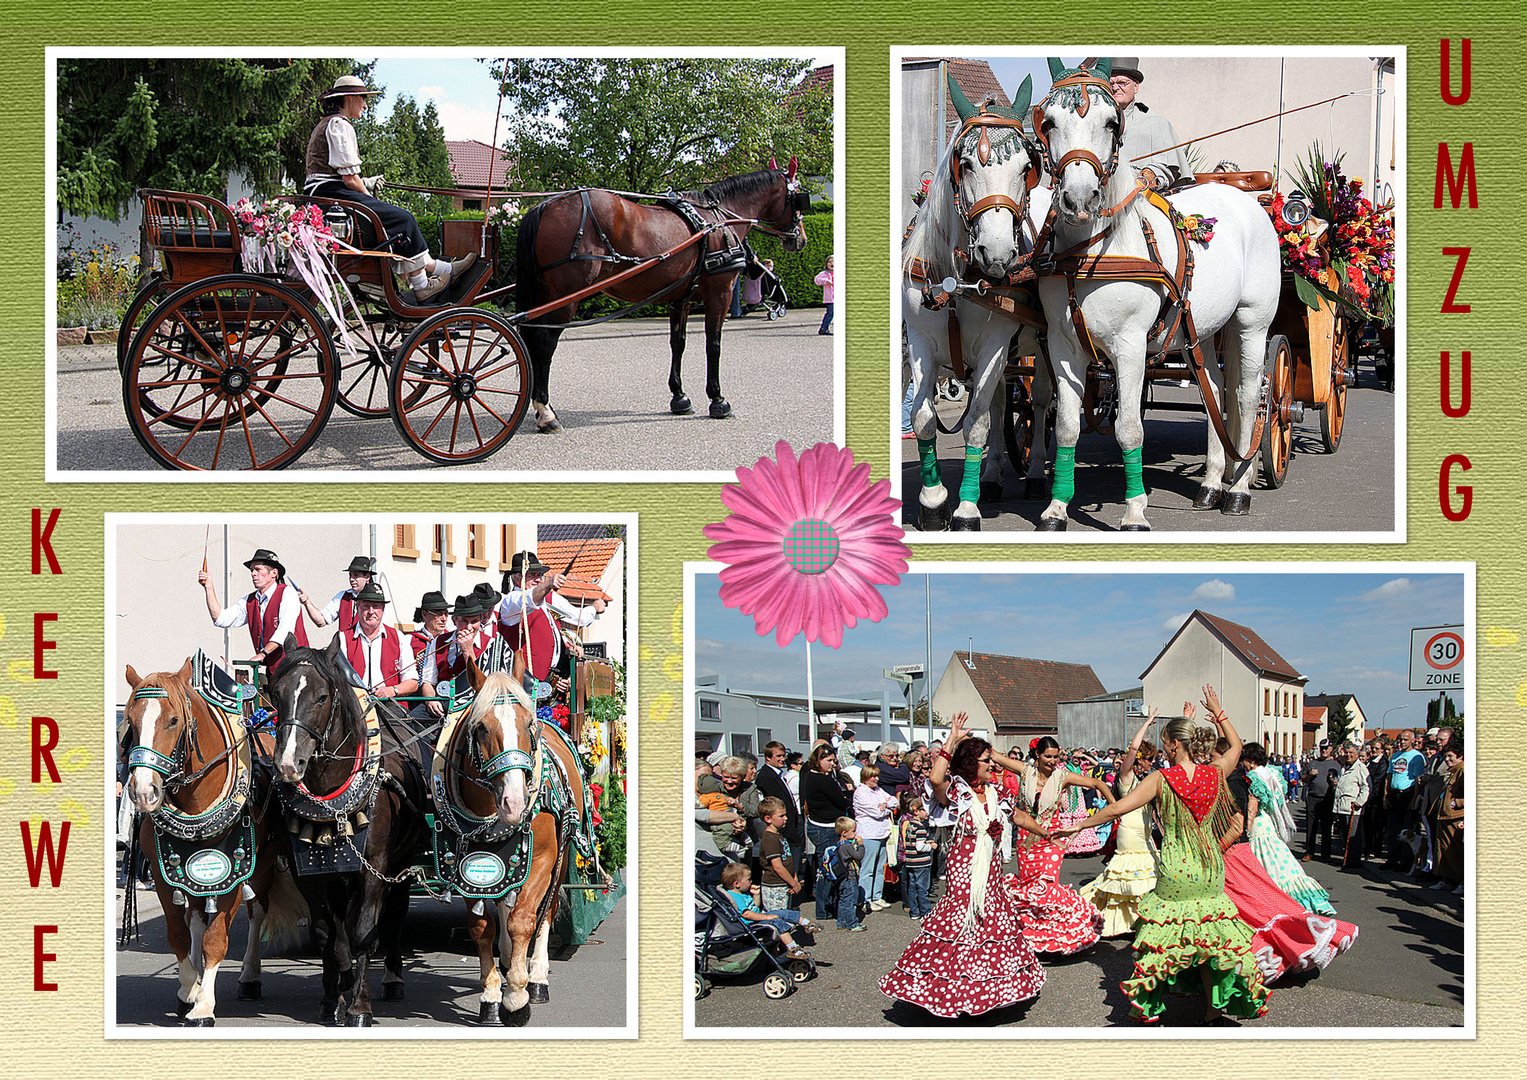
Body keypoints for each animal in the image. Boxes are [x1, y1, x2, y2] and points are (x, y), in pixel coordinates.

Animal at [124, 653, 306, 1026]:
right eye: (131, 722)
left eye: (173, 721)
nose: (143, 792)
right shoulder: (165, 875)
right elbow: (179, 934)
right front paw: (188, 989)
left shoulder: (233, 875)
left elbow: (216, 939)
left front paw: (204, 1005)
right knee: (195, 918)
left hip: (263, 867)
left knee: (256, 912)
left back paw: (250, 976)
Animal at [267, 638, 430, 1026]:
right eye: (276, 693)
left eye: (322, 696)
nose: (287, 763)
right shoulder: (309, 872)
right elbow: (326, 932)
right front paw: (332, 998)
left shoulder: (374, 868)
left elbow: (363, 931)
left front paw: (359, 1006)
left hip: (401, 860)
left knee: (394, 914)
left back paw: (393, 978)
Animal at [442, 659, 595, 1020]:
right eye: (481, 727)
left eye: (529, 725)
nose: (514, 802)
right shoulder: (465, 870)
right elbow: (482, 928)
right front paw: (491, 996)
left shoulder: (542, 859)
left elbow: (524, 921)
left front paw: (517, 998)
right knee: (504, 905)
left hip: (561, 858)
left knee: (547, 910)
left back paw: (535, 978)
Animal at [516, 160, 812, 430]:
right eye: (799, 198)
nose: (801, 239)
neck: (718, 221)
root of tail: (546, 205)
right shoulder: (721, 293)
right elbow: (713, 345)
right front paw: (718, 400)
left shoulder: (680, 298)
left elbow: (677, 343)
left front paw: (680, 397)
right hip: (567, 296)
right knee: (544, 343)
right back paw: (546, 413)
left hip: (545, 293)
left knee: (531, 339)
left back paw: (543, 406)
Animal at [897, 75, 1056, 531]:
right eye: (965, 164)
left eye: (1025, 168)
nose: (998, 255)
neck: (958, 281)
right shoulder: (920, 343)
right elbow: (925, 419)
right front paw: (934, 503)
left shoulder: (994, 346)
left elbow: (977, 425)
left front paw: (966, 510)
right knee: (1004, 400)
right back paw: (992, 477)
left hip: (1039, 344)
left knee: (1038, 402)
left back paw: (1035, 473)